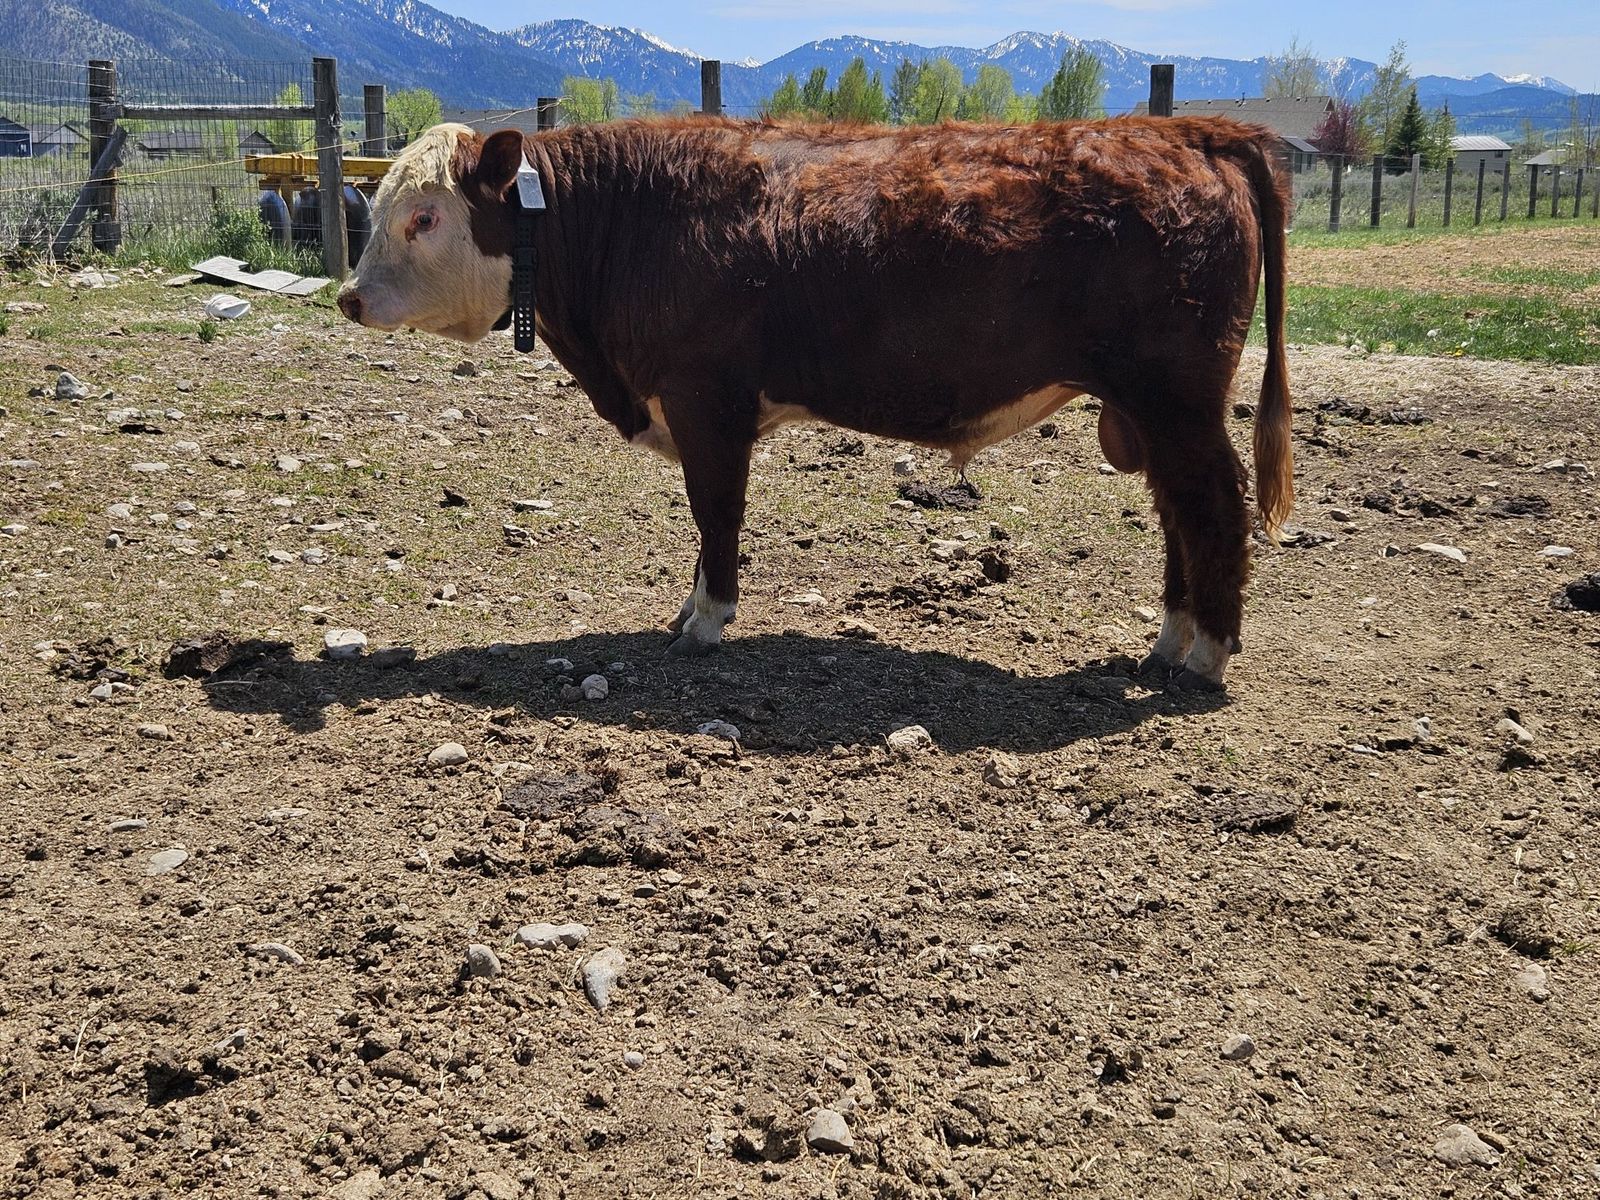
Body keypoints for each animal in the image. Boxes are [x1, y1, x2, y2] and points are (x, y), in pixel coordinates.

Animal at [337, 116, 1292, 690]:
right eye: (376, 207)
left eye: (425, 217)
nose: (347, 297)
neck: (631, 218)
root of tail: (1187, 130)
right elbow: (704, 523)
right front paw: (687, 609)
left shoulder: (705, 400)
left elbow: (715, 512)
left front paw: (707, 621)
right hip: (1154, 411)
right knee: (1177, 512)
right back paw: (1167, 642)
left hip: (1177, 401)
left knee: (1215, 507)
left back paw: (1207, 655)